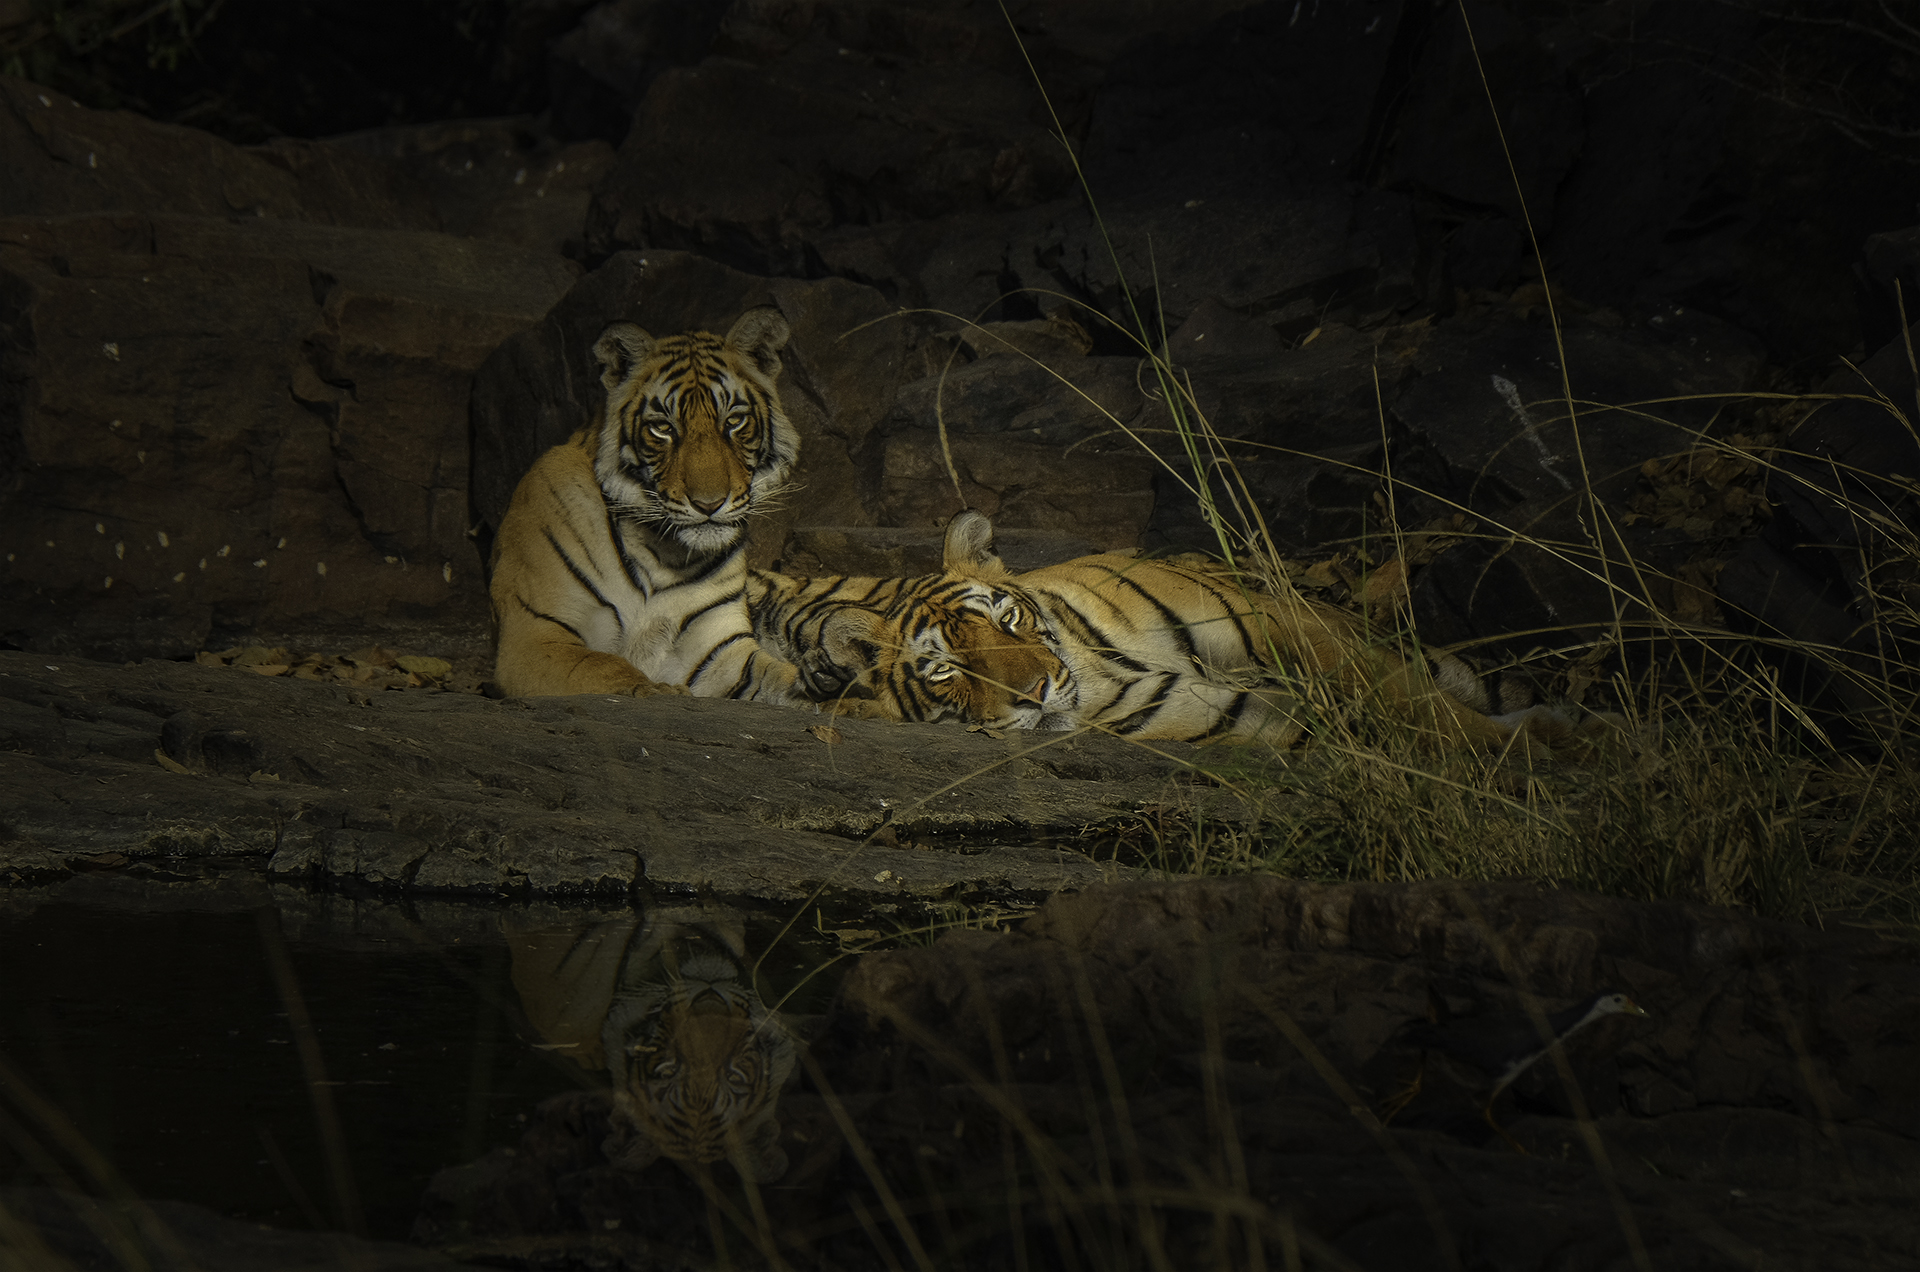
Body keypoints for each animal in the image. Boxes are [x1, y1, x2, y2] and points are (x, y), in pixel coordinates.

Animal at [488, 306, 847, 704]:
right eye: (663, 428)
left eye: (734, 421)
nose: (709, 504)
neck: (661, 553)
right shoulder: (533, 635)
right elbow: (606, 666)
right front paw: (658, 691)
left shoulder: (717, 652)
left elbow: (776, 677)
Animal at [751, 510, 1617, 752]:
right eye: (945, 671)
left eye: (1006, 618)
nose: (1035, 692)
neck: (1096, 672)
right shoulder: (1243, 716)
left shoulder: (1284, 627)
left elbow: (1412, 707)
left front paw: (1546, 756)